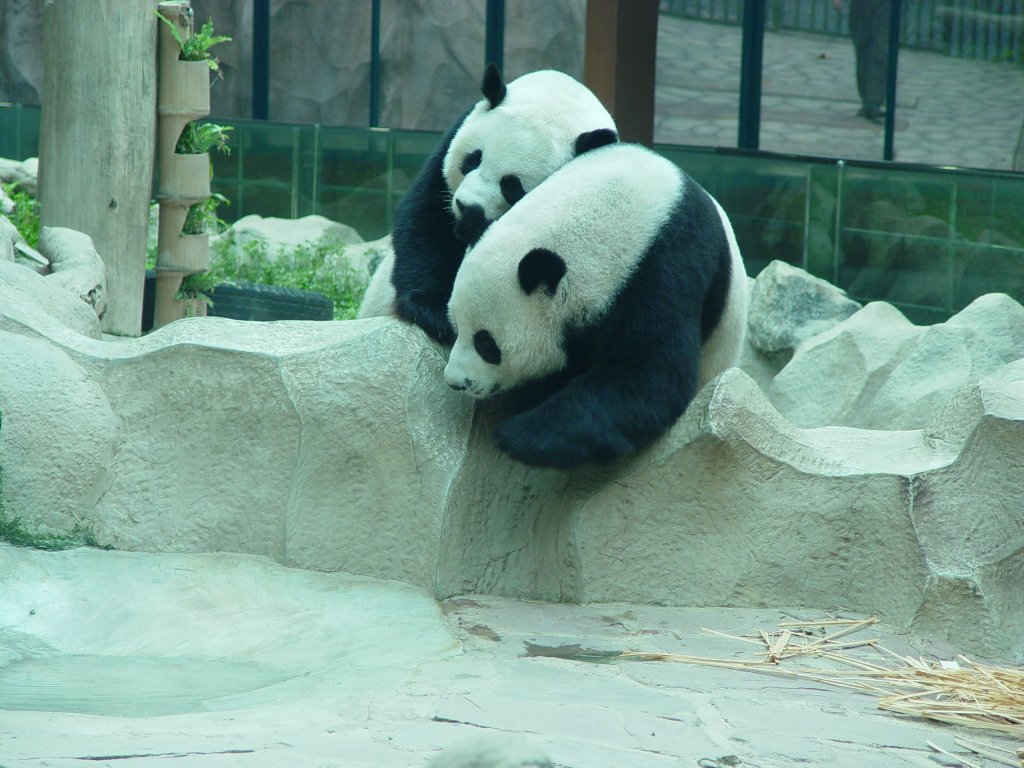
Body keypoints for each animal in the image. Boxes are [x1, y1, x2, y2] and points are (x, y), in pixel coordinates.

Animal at [360, 65, 614, 342]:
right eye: (473, 159)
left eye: (511, 186)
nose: (465, 205)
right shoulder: (449, 147)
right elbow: (427, 219)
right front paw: (433, 310)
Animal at [444, 141, 749, 473]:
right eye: (456, 328)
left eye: (486, 344)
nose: (455, 382)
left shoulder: (663, 270)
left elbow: (647, 378)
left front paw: (519, 436)